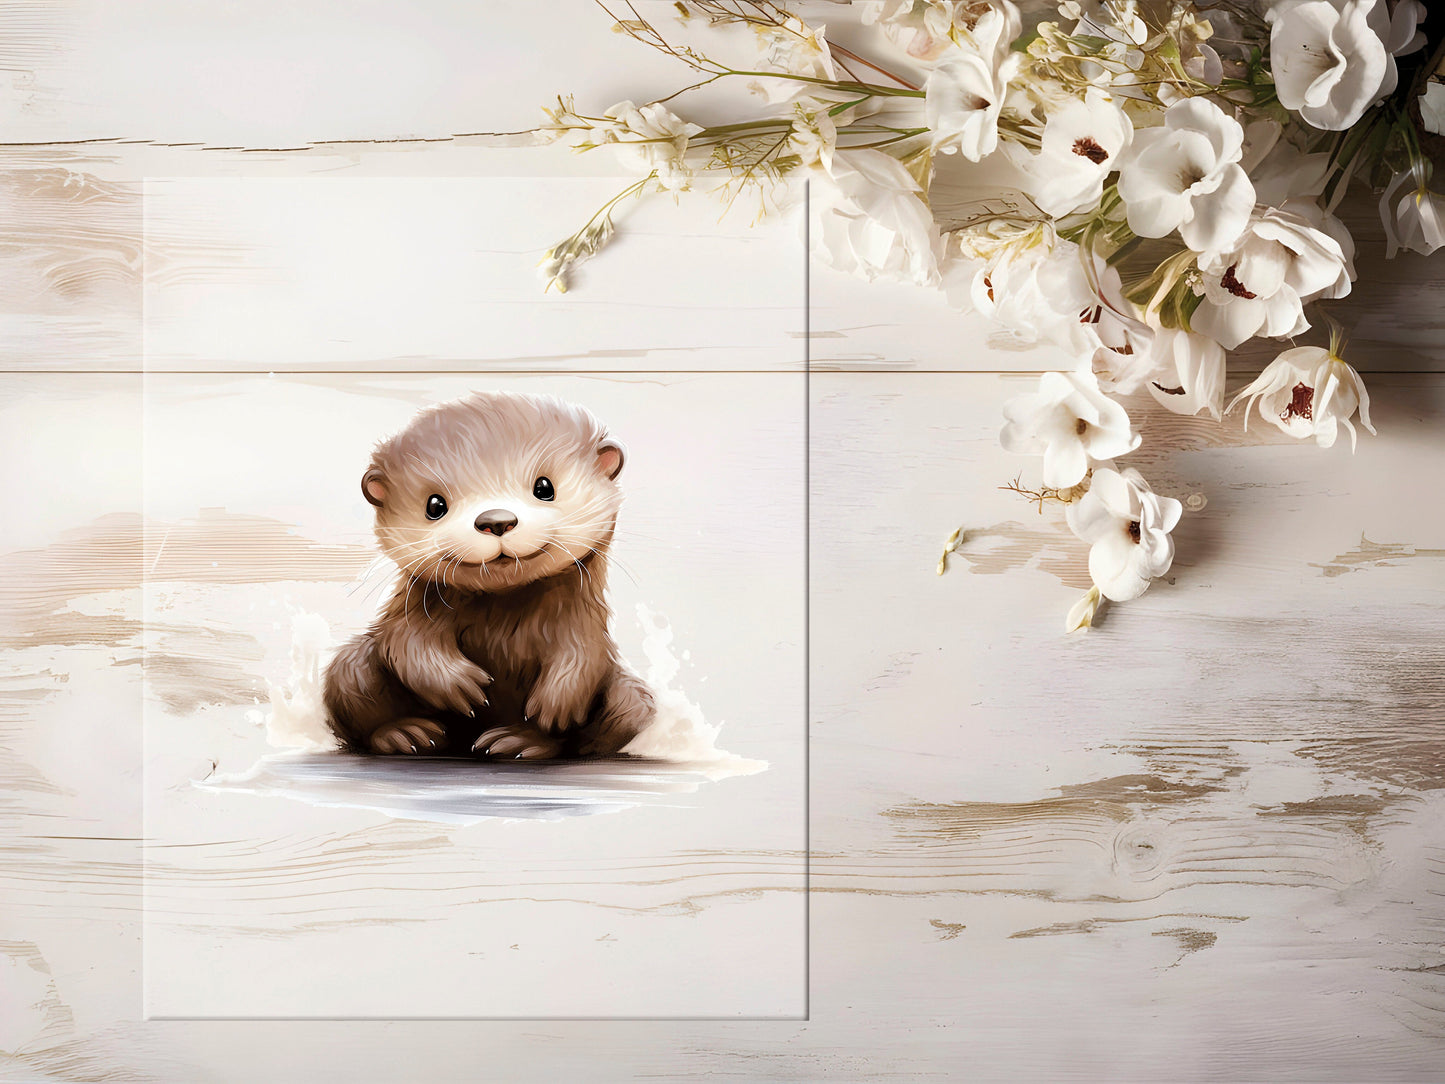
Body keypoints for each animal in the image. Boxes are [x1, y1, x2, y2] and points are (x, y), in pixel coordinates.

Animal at [323, 392, 654, 760]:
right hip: (351, 666)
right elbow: (408, 646)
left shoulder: (584, 622)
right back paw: (408, 734)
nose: (496, 520)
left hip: (632, 698)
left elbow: (585, 657)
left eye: (544, 487)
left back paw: (518, 741)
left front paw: (554, 705)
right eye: (435, 505)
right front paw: (460, 684)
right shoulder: (410, 613)